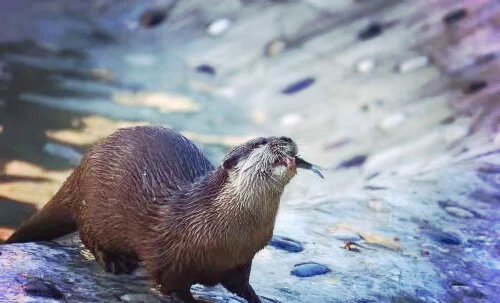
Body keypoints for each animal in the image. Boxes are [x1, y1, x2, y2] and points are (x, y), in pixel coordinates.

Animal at [5, 126, 324, 303]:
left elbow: (241, 285)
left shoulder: (242, 259)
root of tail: (82, 166)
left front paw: (256, 297)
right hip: (92, 209)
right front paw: (191, 300)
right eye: (261, 142)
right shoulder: (169, 253)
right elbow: (171, 283)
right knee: (89, 237)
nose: (286, 138)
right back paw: (115, 262)